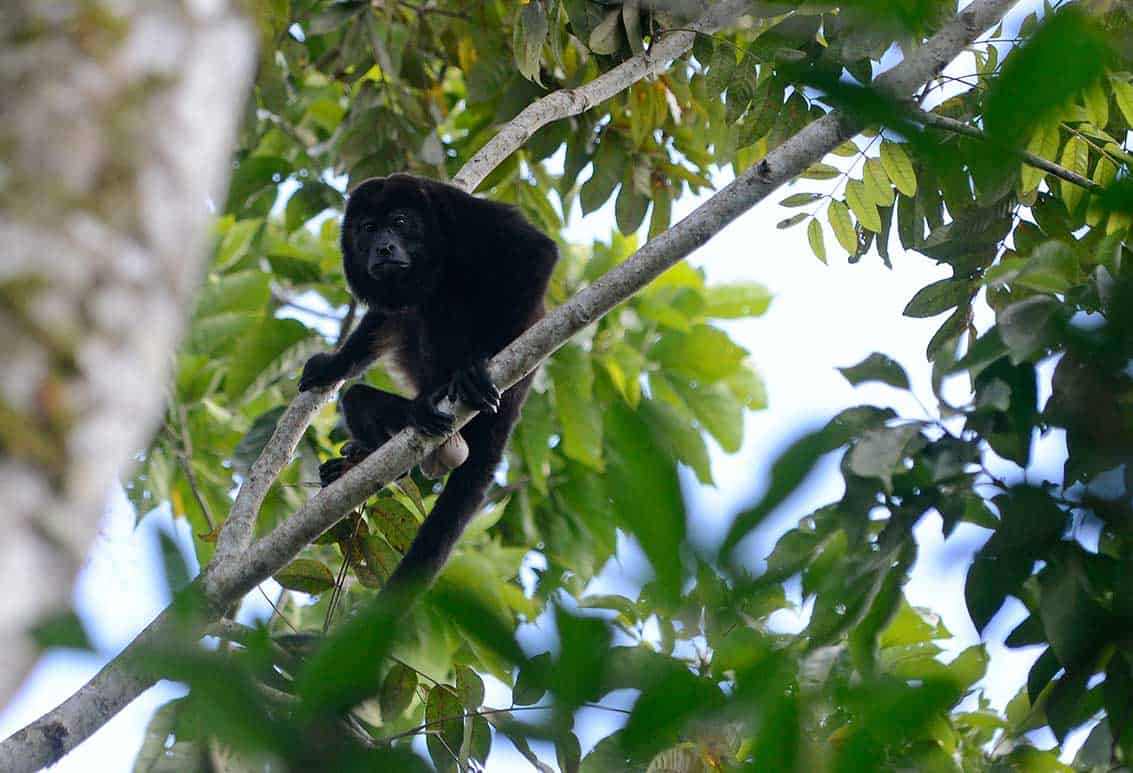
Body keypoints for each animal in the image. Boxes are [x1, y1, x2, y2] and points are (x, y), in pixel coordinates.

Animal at [296, 173, 552, 584]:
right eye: (368, 229)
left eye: (400, 222)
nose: (383, 247)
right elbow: (386, 316)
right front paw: (333, 366)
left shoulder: (465, 216)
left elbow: (536, 252)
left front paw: (479, 367)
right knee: (359, 397)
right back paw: (375, 446)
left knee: (448, 295)